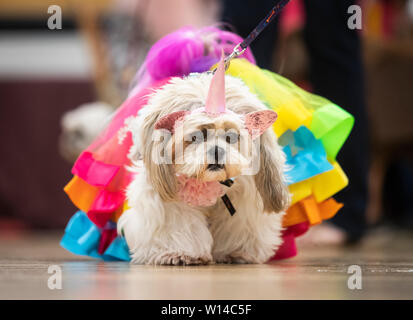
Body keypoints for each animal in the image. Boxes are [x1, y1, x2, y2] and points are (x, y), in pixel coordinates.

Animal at [116, 57, 290, 264]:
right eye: (196, 136)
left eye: (232, 136)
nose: (217, 151)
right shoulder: (168, 198)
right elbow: (176, 224)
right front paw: (177, 253)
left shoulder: (243, 194)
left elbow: (240, 224)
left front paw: (237, 252)